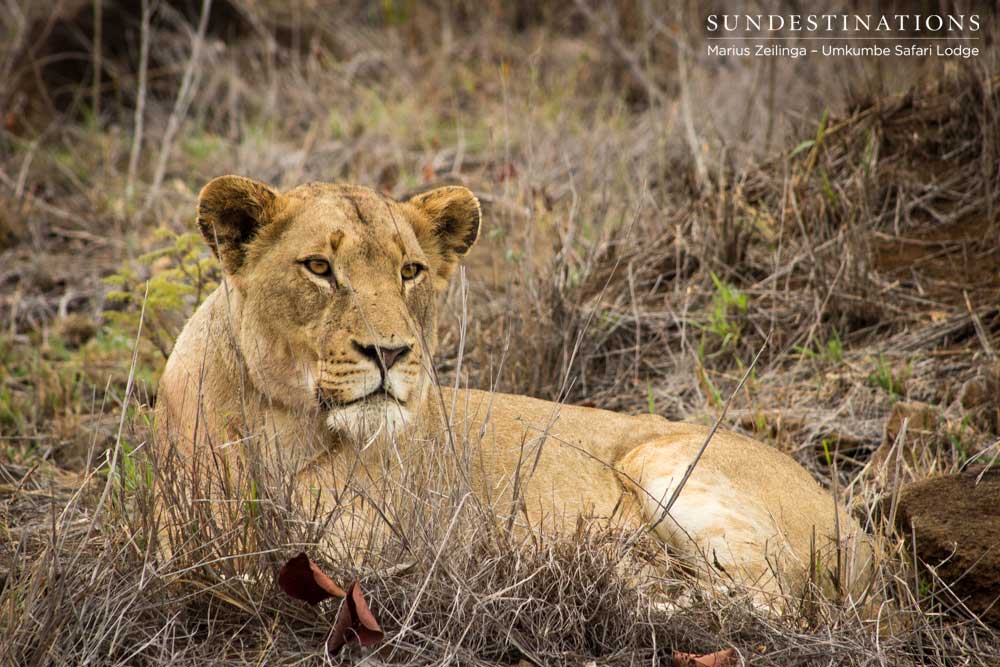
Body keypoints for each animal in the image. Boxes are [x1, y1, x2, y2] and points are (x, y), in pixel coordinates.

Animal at [156, 175, 872, 603]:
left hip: (663, 462)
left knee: (762, 604)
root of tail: (870, 540)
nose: (390, 352)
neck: (279, 421)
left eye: (410, 271)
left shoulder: (380, 543)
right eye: (318, 267)